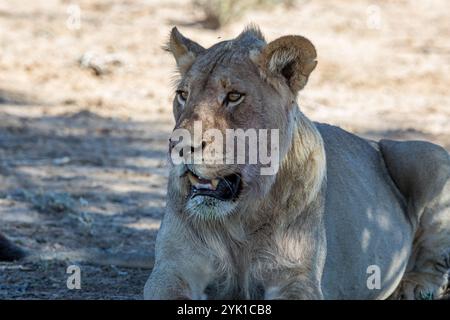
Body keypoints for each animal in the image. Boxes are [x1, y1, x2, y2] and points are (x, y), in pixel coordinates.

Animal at [145, 25, 450, 300]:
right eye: (183, 95)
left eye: (234, 96)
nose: (178, 146)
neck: (239, 219)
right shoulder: (174, 270)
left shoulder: (295, 278)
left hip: (429, 156)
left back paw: (415, 286)